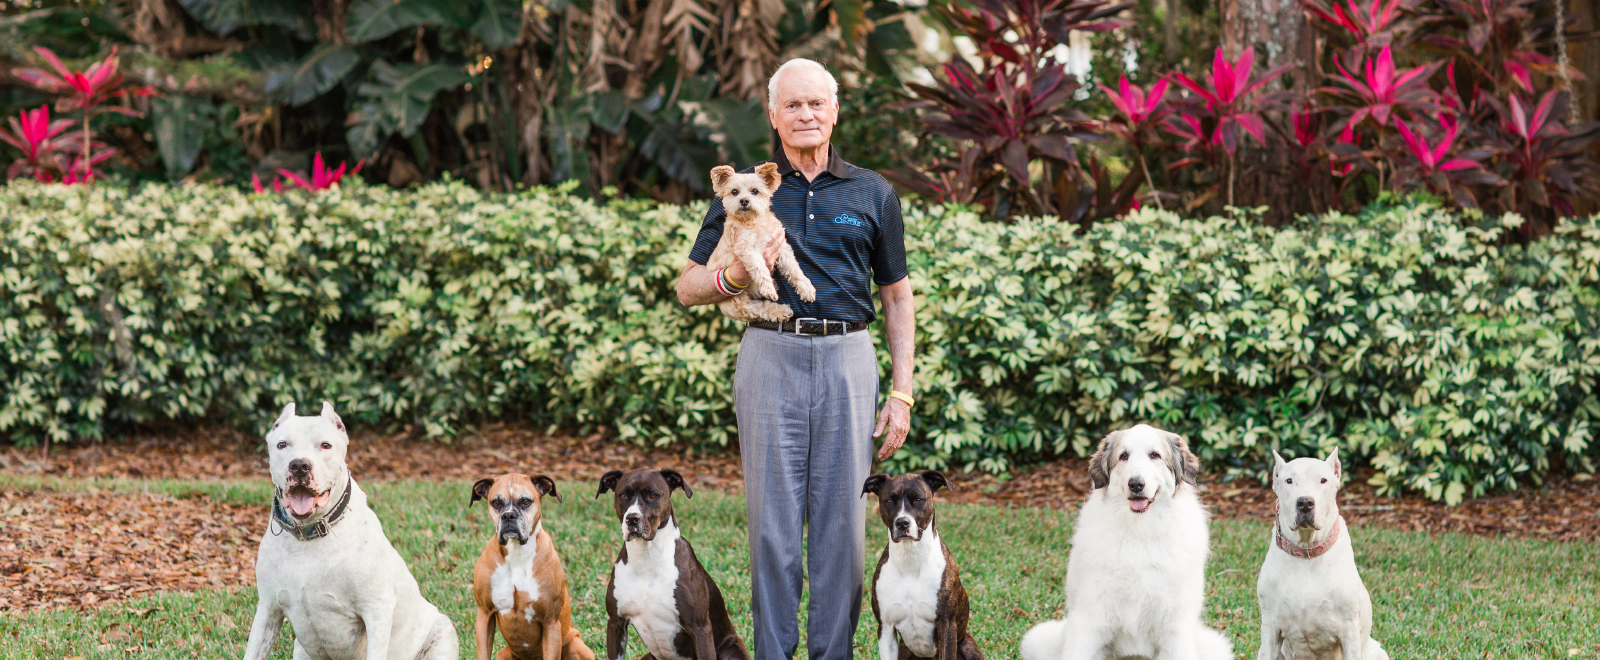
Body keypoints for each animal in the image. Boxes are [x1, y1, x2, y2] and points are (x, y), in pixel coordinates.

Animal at [243, 402, 460, 660]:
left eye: (325, 445)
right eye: (282, 444)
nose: (299, 465)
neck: (309, 536)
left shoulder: (377, 608)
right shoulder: (268, 610)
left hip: (441, 633)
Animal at [473, 470, 601, 660]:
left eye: (526, 501)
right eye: (496, 502)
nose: (508, 515)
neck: (517, 554)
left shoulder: (550, 623)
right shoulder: (484, 614)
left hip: (575, 645)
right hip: (504, 653)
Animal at [601, 467, 748, 660]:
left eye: (653, 495)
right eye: (623, 495)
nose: (632, 518)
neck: (646, 558)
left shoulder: (700, 627)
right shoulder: (616, 624)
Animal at [870, 467, 979, 660]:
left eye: (919, 499)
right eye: (889, 501)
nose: (902, 522)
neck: (910, 560)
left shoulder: (947, 625)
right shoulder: (885, 628)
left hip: (967, 645)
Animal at [1248, 448, 1388, 660]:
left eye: (1323, 480)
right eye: (1289, 480)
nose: (1305, 503)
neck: (1307, 552)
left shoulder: (1349, 631)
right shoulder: (1271, 627)